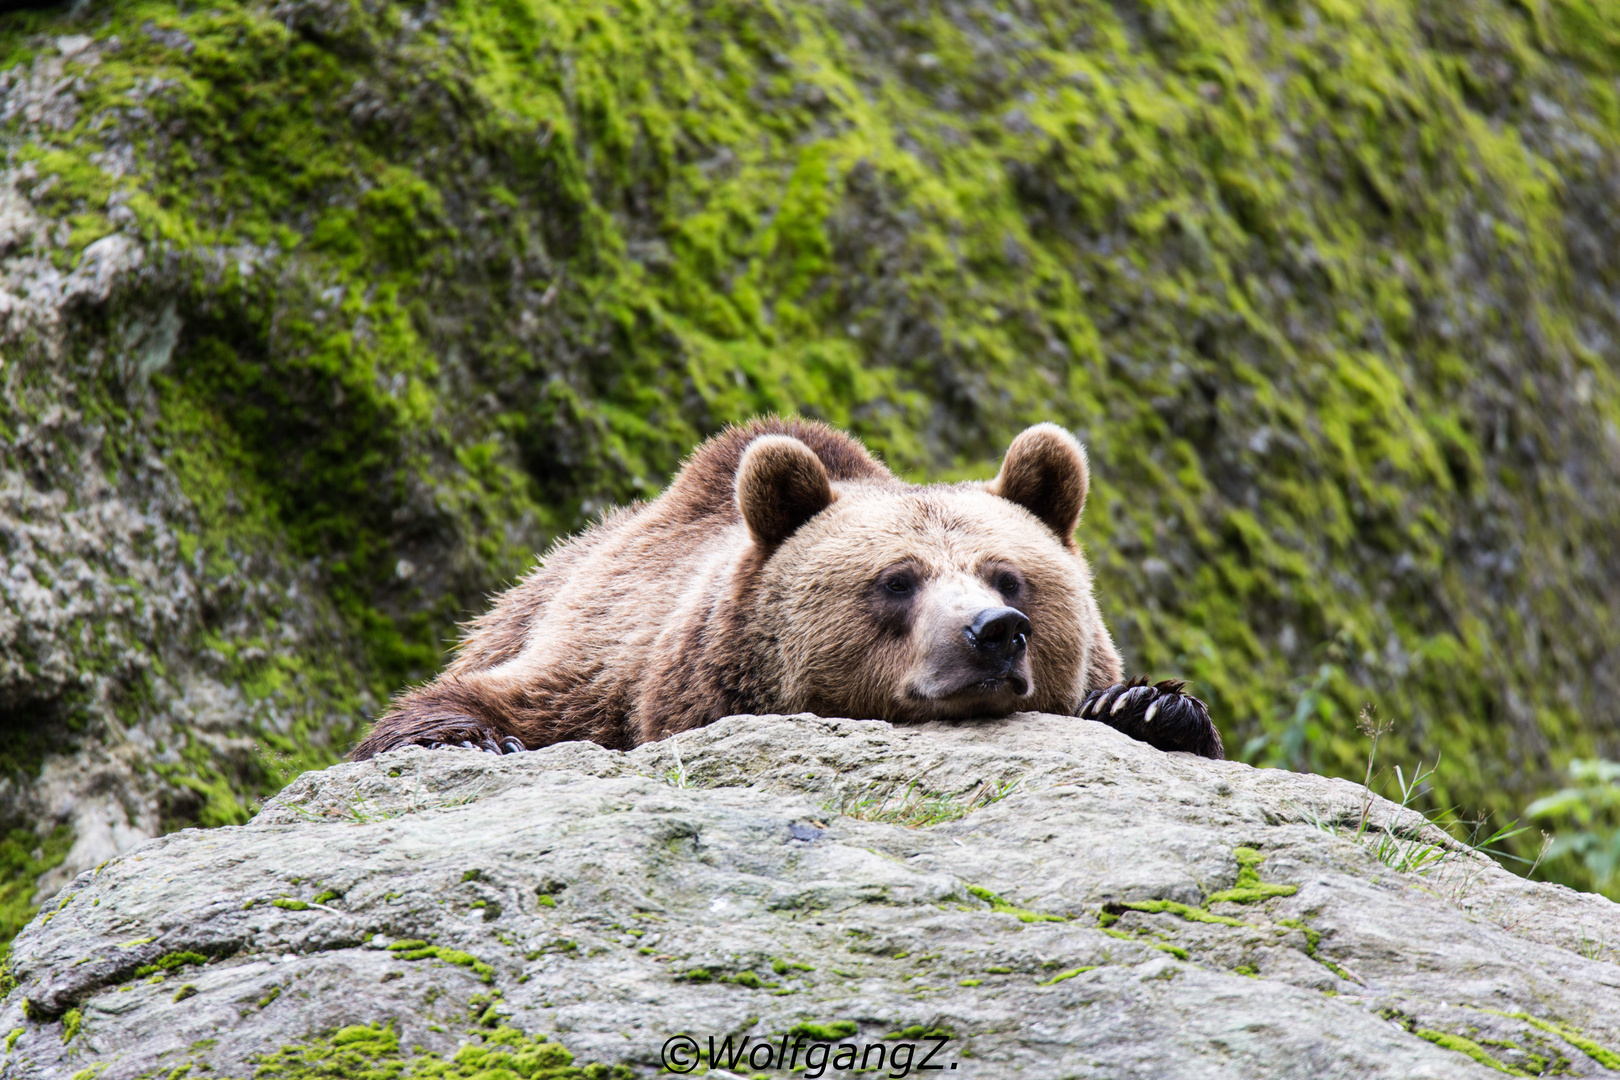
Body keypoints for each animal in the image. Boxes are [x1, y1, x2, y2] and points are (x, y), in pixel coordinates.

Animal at [351, 417, 1218, 761]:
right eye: (897, 580)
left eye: (1010, 576)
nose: (993, 630)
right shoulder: (604, 670)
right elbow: (482, 705)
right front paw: (471, 738)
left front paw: (1149, 708)